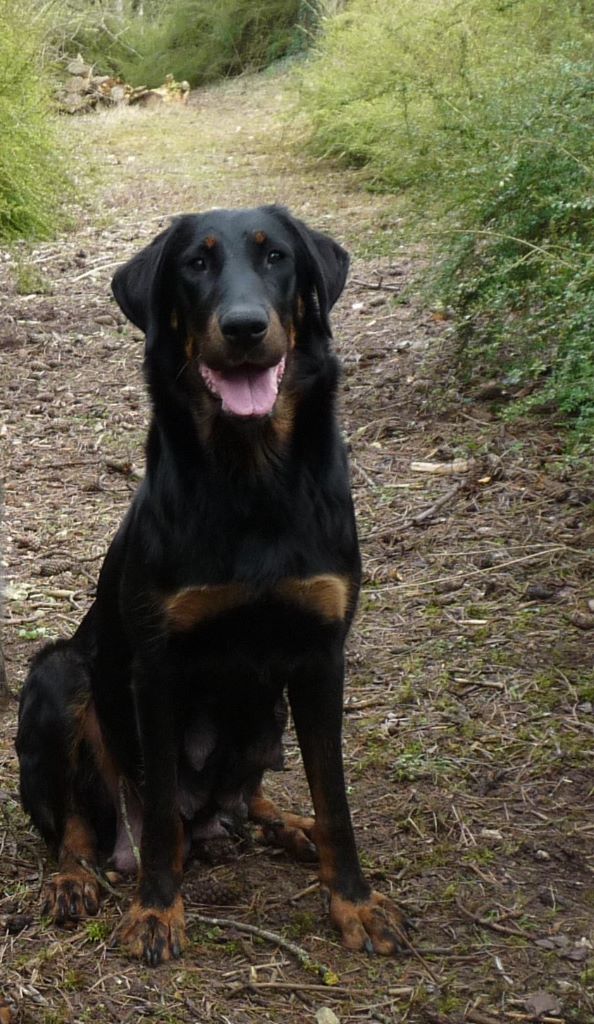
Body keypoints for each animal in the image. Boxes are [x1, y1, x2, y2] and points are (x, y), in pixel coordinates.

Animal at [18, 205, 407, 958]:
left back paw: (289, 828)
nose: (246, 327)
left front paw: (354, 901)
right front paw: (156, 911)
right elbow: (160, 811)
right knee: (84, 825)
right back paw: (74, 879)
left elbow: (334, 797)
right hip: (57, 674)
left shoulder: (321, 655)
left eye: (277, 257)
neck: (250, 479)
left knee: (255, 798)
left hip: (270, 714)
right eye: (194, 265)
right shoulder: (158, 665)